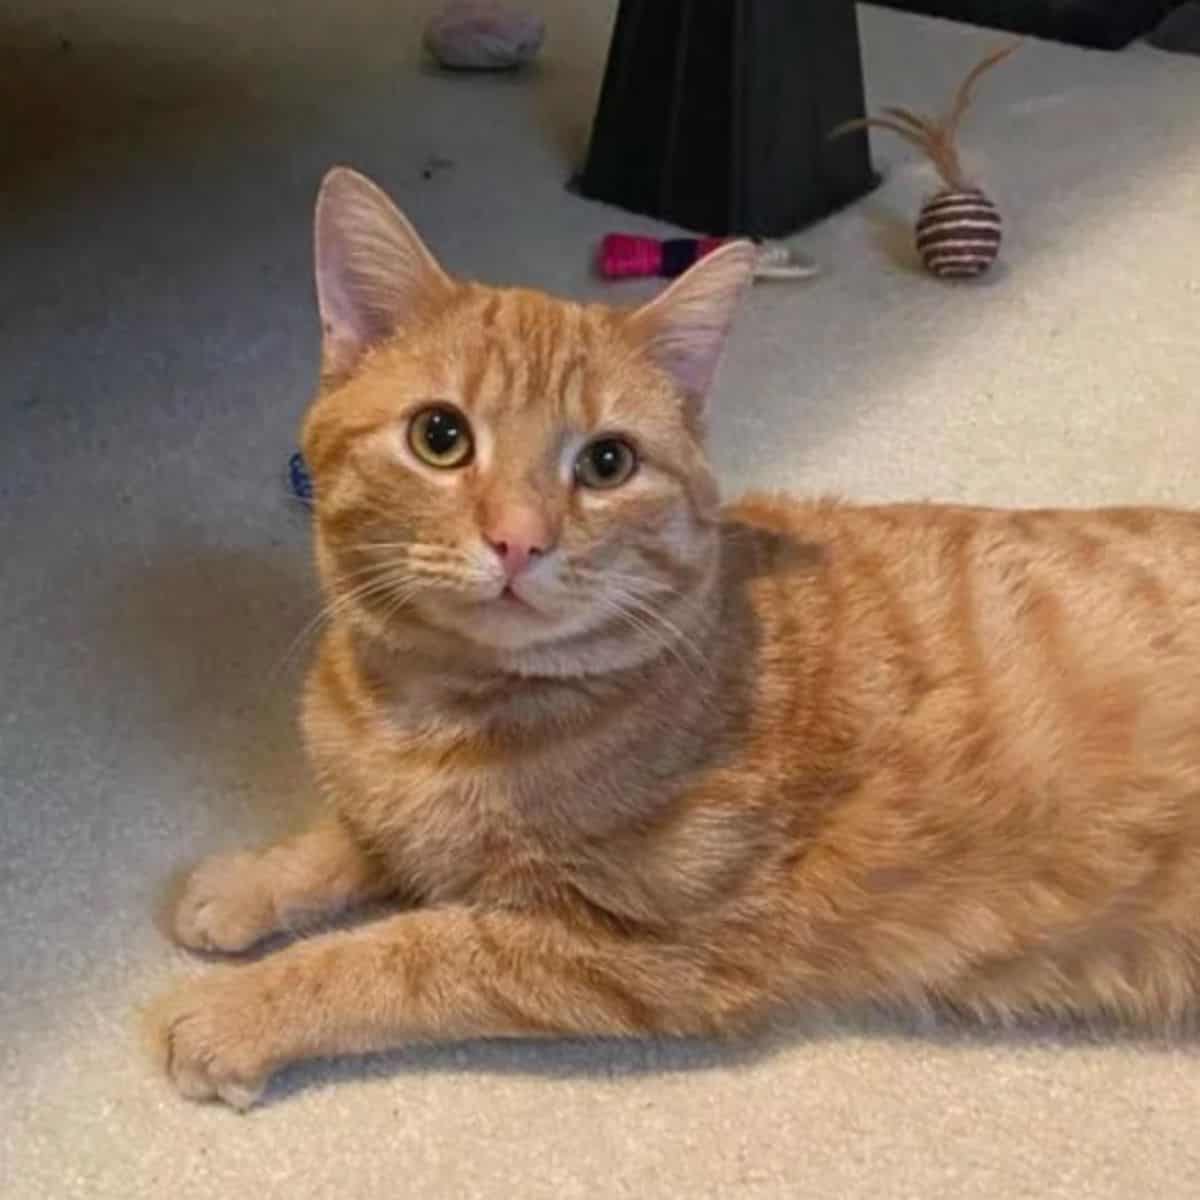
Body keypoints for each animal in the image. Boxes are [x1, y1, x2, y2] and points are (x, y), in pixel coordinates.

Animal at [154, 166, 1200, 1104]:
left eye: (607, 463)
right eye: (440, 437)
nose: (519, 540)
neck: (424, 710)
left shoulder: (639, 949)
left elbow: (403, 953)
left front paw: (241, 1010)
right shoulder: (420, 830)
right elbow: (357, 838)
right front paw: (252, 881)